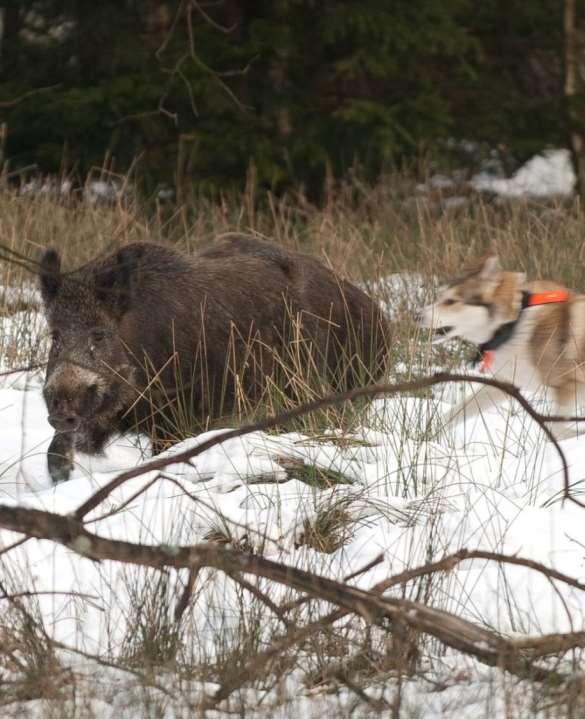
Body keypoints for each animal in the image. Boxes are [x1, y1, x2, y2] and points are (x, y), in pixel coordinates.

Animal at [418, 256, 584, 436]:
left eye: (451, 301)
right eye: (439, 297)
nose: (416, 316)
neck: (513, 325)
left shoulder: (570, 387)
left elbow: (556, 432)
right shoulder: (505, 385)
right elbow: (454, 413)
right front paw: (429, 433)